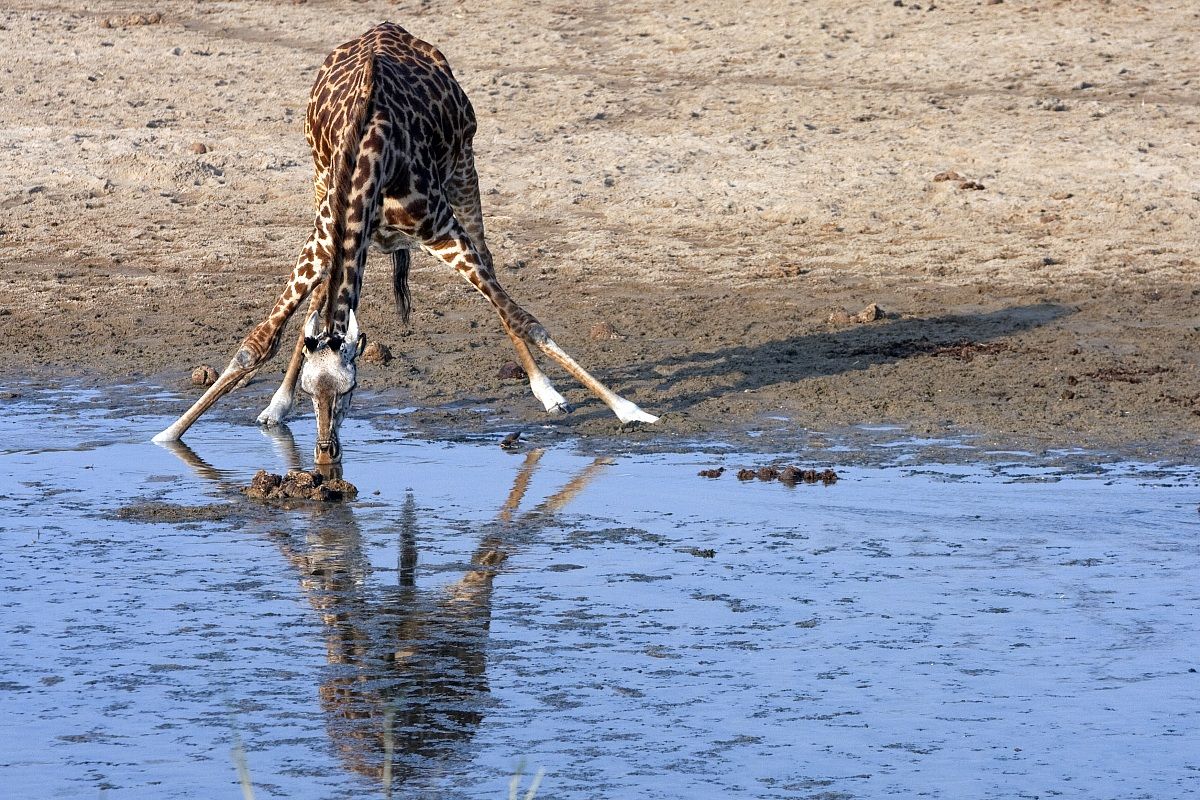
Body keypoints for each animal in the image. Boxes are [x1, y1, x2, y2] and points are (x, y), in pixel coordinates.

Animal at [153, 22, 658, 463]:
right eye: (312, 390)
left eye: (352, 389)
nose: (325, 454)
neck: (370, 156)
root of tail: (389, 27)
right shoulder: (322, 237)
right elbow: (257, 343)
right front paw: (170, 435)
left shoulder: (441, 229)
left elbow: (524, 318)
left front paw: (628, 409)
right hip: (321, 191)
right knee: (320, 303)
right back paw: (275, 403)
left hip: (464, 170)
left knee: (492, 268)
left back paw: (548, 391)